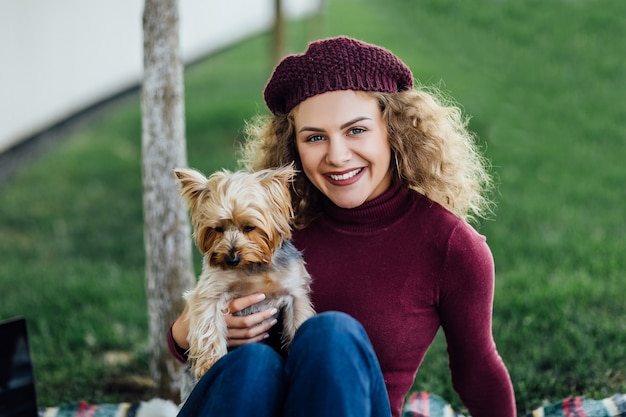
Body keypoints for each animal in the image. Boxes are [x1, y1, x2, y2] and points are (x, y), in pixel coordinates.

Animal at [173, 164, 314, 378]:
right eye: (217, 229)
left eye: (249, 227)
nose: (232, 259)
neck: (252, 266)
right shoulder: (210, 291)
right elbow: (208, 324)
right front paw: (209, 363)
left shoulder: (295, 291)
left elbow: (299, 319)